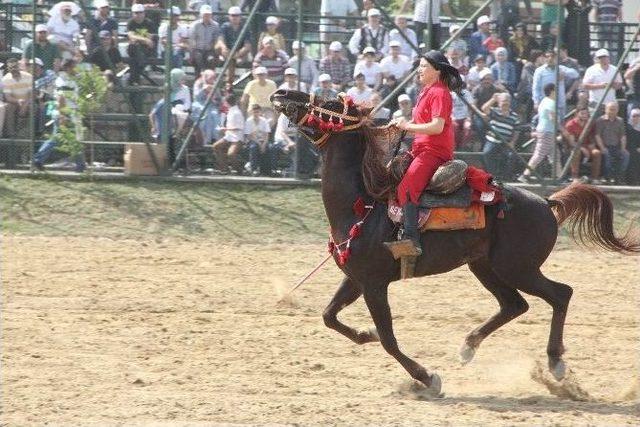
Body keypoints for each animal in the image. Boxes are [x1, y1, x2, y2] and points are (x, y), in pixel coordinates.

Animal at [270, 89, 640, 398]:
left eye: (330, 103)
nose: (282, 93)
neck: (363, 205)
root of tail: (546, 203)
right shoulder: (356, 278)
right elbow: (329, 316)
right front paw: (365, 335)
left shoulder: (374, 284)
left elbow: (389, 339)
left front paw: (427, 378)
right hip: (485, 267)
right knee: (514, 305)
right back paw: (468, 347)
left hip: (517, 267)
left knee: (560, 294)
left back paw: (556, 364)